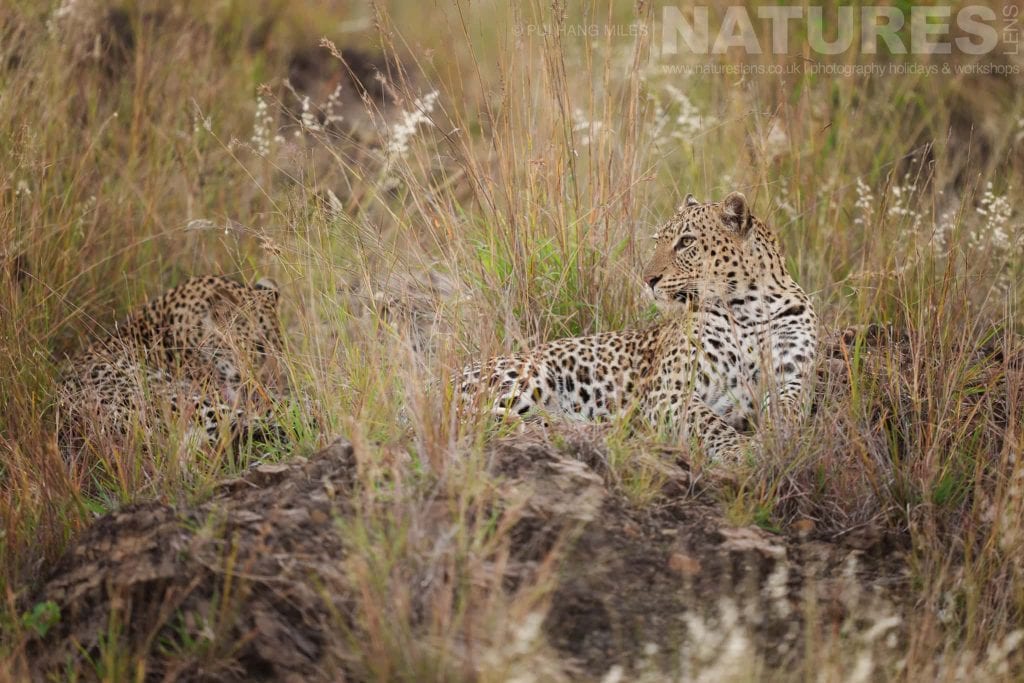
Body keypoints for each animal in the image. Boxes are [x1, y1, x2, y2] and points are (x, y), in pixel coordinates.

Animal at [456, 191, 818, 461]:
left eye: (687, 242)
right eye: (659, 240)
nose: (648, 280)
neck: (750, 307)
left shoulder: (794, 376)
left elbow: (788, 413)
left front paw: (771, 443)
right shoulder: (670, 388)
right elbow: (709, 422)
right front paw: (738, 452)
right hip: (528, 375)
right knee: (483, 421)